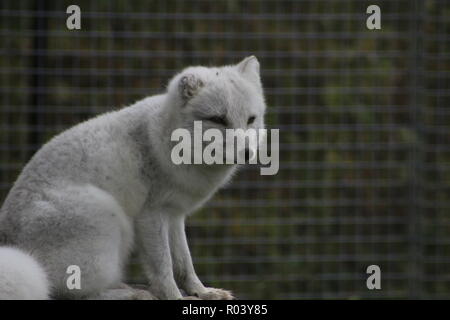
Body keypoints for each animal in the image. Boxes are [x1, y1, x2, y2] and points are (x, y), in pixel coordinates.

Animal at [0, 56, 268, 298]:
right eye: (218, 119)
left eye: (251, 119)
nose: (247, 153)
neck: (169, 139)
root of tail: (7, 236)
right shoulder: (151, 215)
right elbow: (164, 266)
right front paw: (173, 296)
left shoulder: (175, 214)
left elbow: (184, 262)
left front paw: (201, 291)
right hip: (108, 217)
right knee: (67, 288)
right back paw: (128, 291)